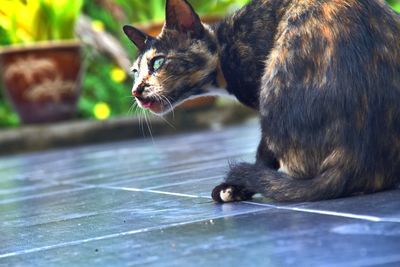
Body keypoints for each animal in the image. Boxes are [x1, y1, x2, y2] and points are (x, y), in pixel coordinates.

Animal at [122, 0, 400, 203]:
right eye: (134, 71)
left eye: (158, 62)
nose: (136, 91)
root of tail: (355, 159)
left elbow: (263, 151)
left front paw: (234, 188)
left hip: (274, 81)